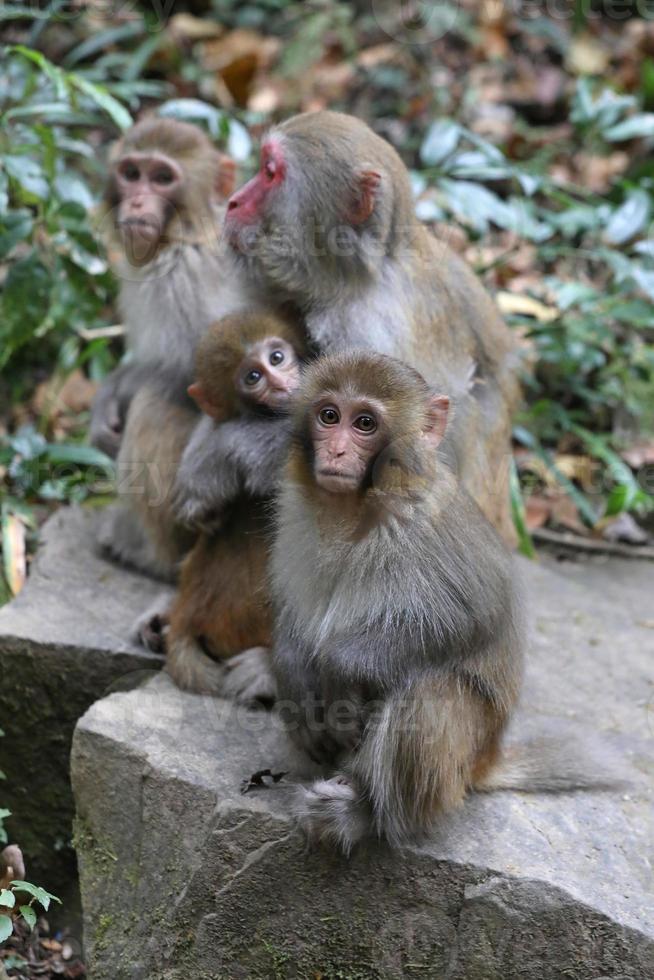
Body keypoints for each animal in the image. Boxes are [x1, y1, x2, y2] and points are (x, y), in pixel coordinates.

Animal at [92, 114, 254, 580]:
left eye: (163, 178)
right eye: (131, 173)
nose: (137, 203)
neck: (186, 233)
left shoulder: (182, 277)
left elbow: (200, 376)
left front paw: (119, 393)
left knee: (154, 402)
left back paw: (151, 556)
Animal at [258, 356, 608, 852]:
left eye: (364, 423)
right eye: (329, 415)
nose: (338, 453)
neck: (356, 506)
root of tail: (486, 760)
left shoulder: (424, 519)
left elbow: (473, 616)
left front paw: (338, 667)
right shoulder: (296, 514)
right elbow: (291, 609)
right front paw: (292, 673)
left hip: (461, 756)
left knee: (432, 692)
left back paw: (365, 814)